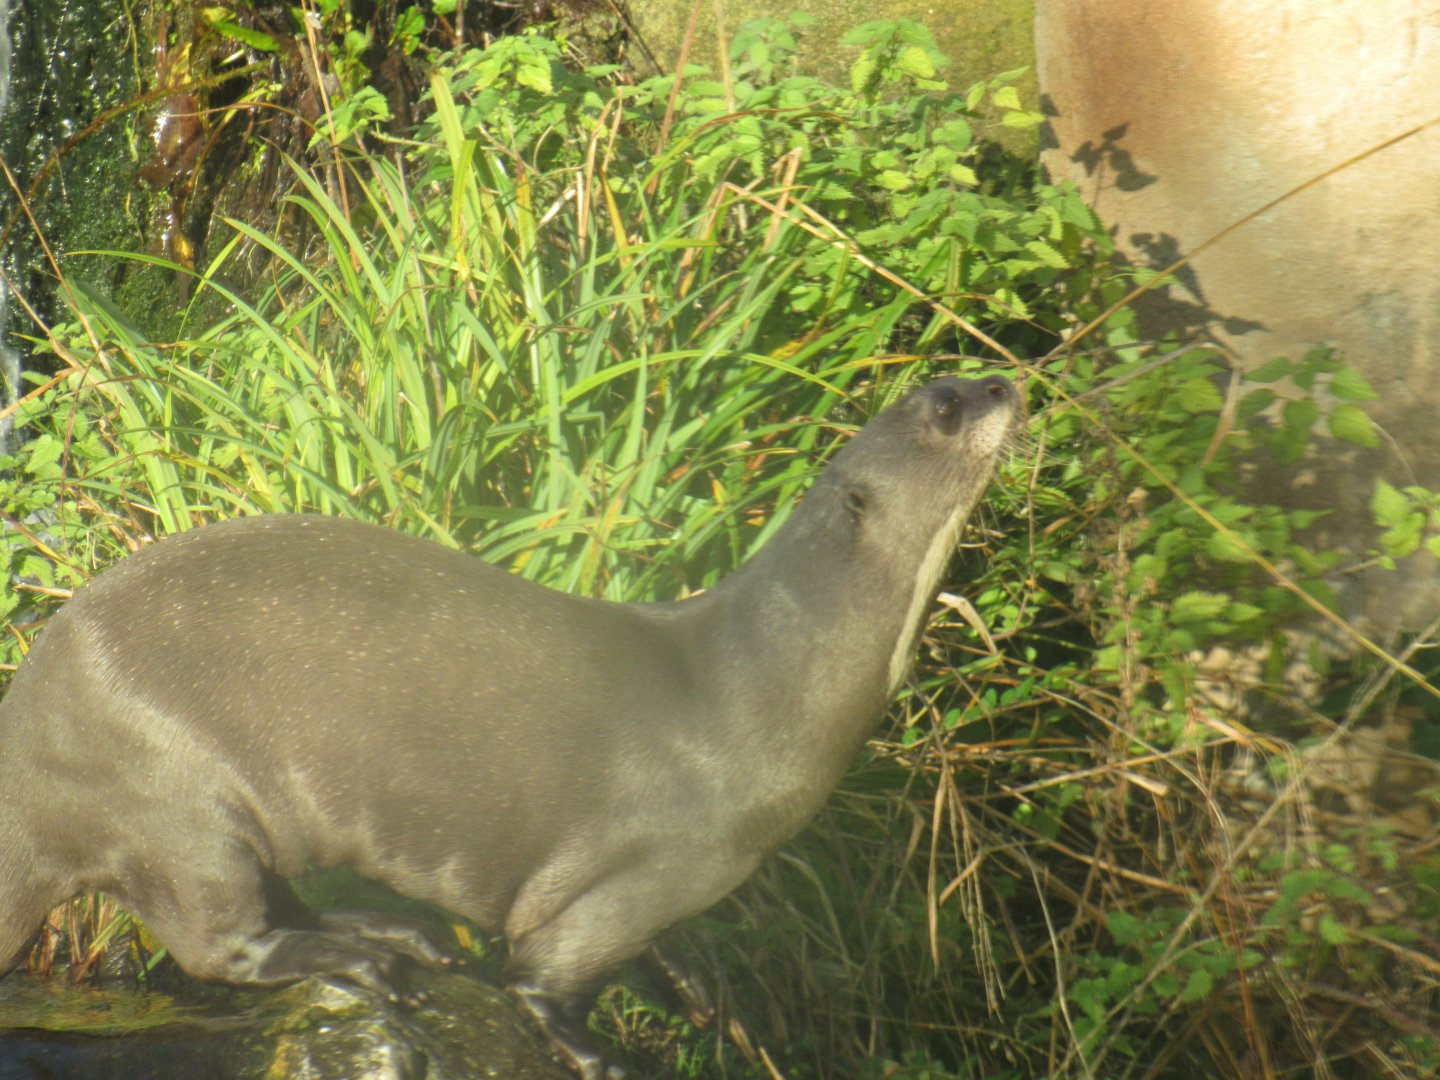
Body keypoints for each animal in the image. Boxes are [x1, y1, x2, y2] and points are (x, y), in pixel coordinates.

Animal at [0, 375, 1018, 1077]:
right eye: (946, 407)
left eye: (951, 379)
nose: (1005, 383)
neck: (761, 680)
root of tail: (27, 731)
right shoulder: (657, 863)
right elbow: (544, 974)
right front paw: (602, 1050)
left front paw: (692, 984)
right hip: (165, 796)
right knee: (217, 942)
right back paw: (366, 959)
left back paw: (394, 935)